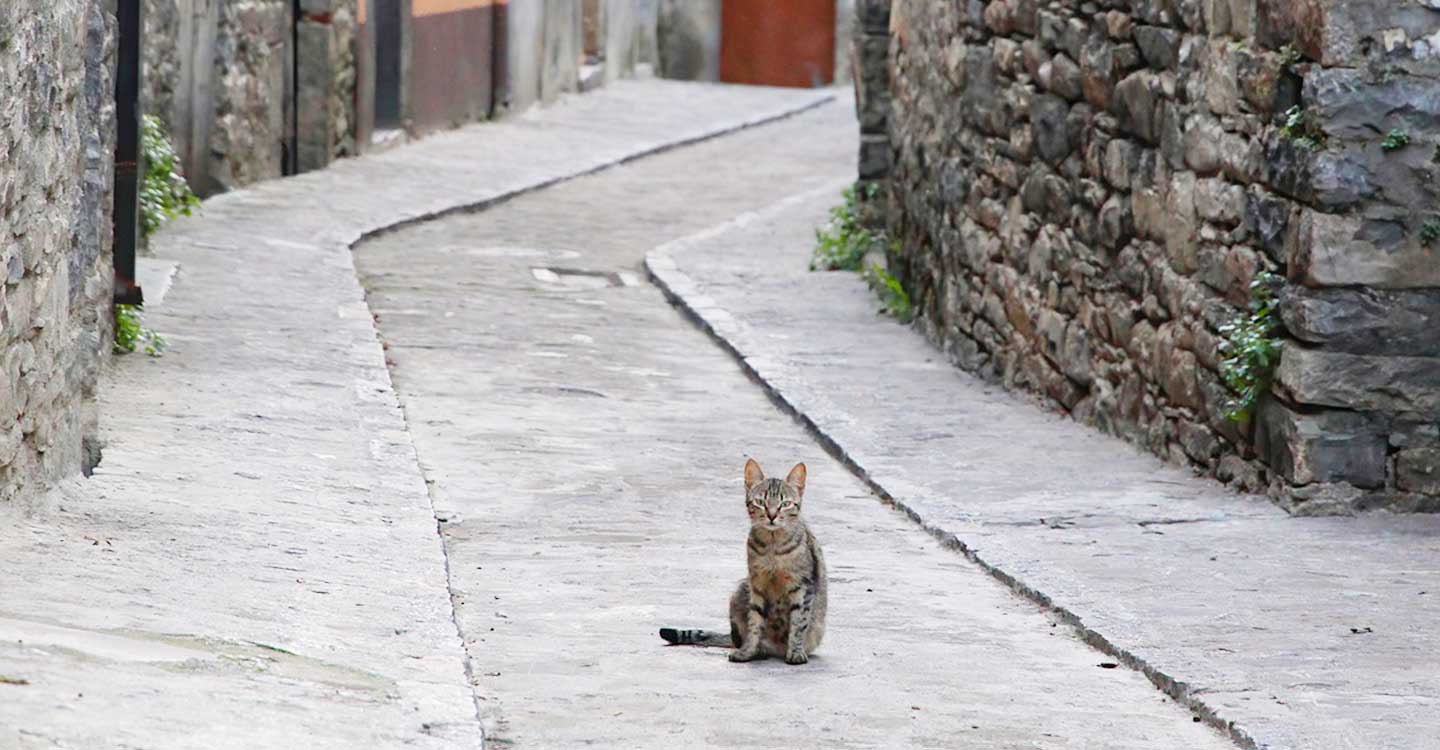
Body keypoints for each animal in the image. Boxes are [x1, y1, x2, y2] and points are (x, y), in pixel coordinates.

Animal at [659, 454, 829, 662]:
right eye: (761, 502)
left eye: (785, 504)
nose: (772, 515)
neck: (772, 546)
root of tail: (776, 650)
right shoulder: (757, 586)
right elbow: (754, 623)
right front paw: (748, 650)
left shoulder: (803, 586)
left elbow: (798, 623)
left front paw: (796, 652)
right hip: (739, 592)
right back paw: (759, 650)